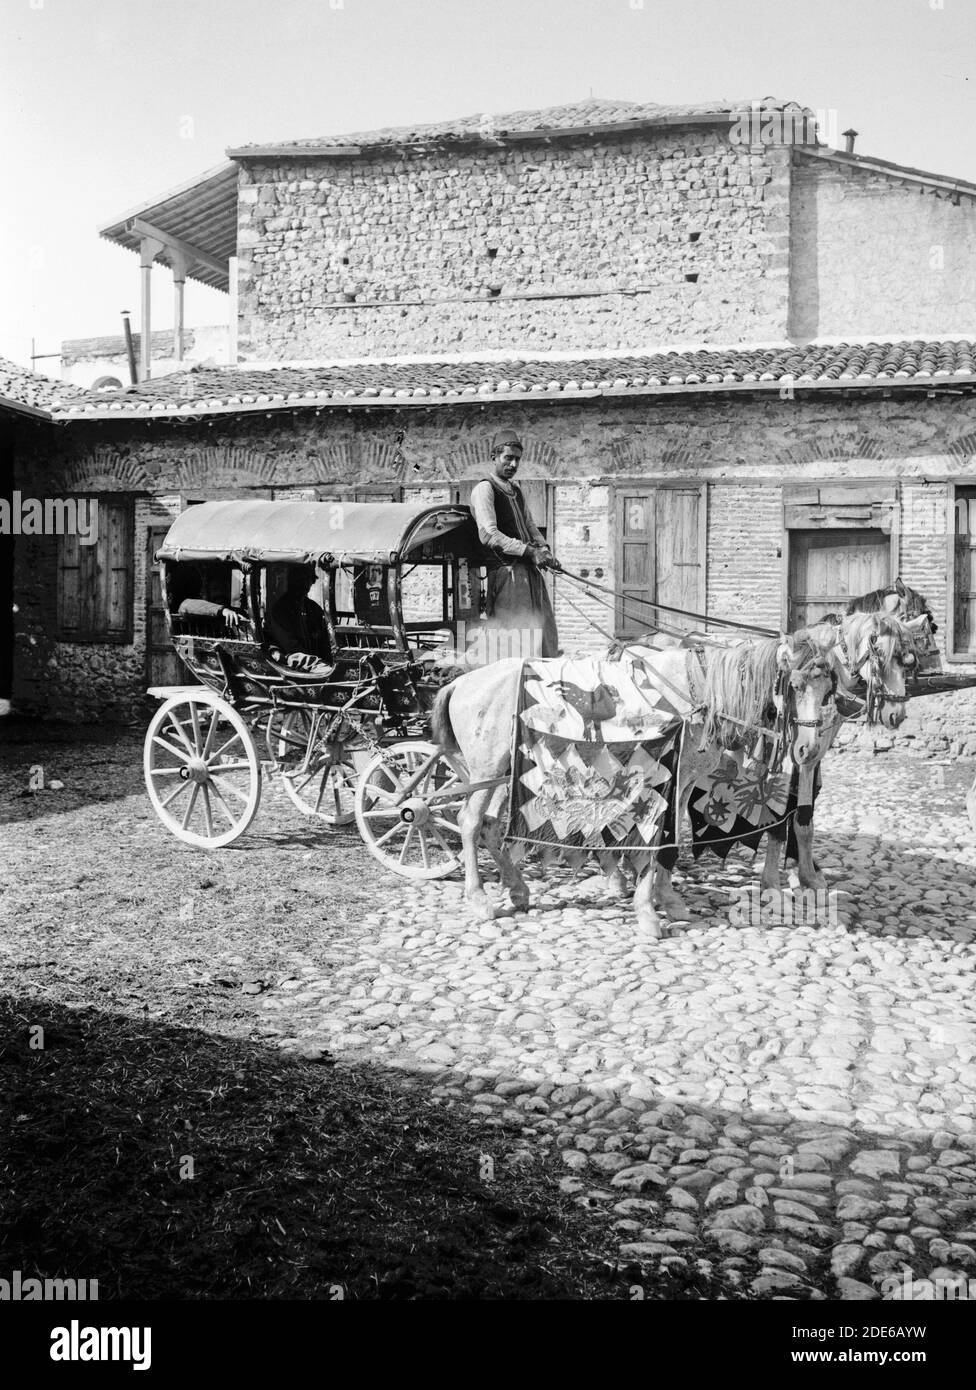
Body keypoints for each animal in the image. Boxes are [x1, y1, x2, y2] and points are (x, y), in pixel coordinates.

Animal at [436, 631, 839, 934]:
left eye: (828, 690)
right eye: (795, 685)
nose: (807, 749)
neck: (694, 690)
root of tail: (461, 681)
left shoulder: (685, 782)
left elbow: (670, 842)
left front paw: (667, 899)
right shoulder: (666, 776)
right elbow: (655, 841)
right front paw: (647, 909)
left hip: (501, 772)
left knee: (490, 825)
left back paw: (518, 888)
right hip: (487, 767)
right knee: (470, 822)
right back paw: (478, 897)